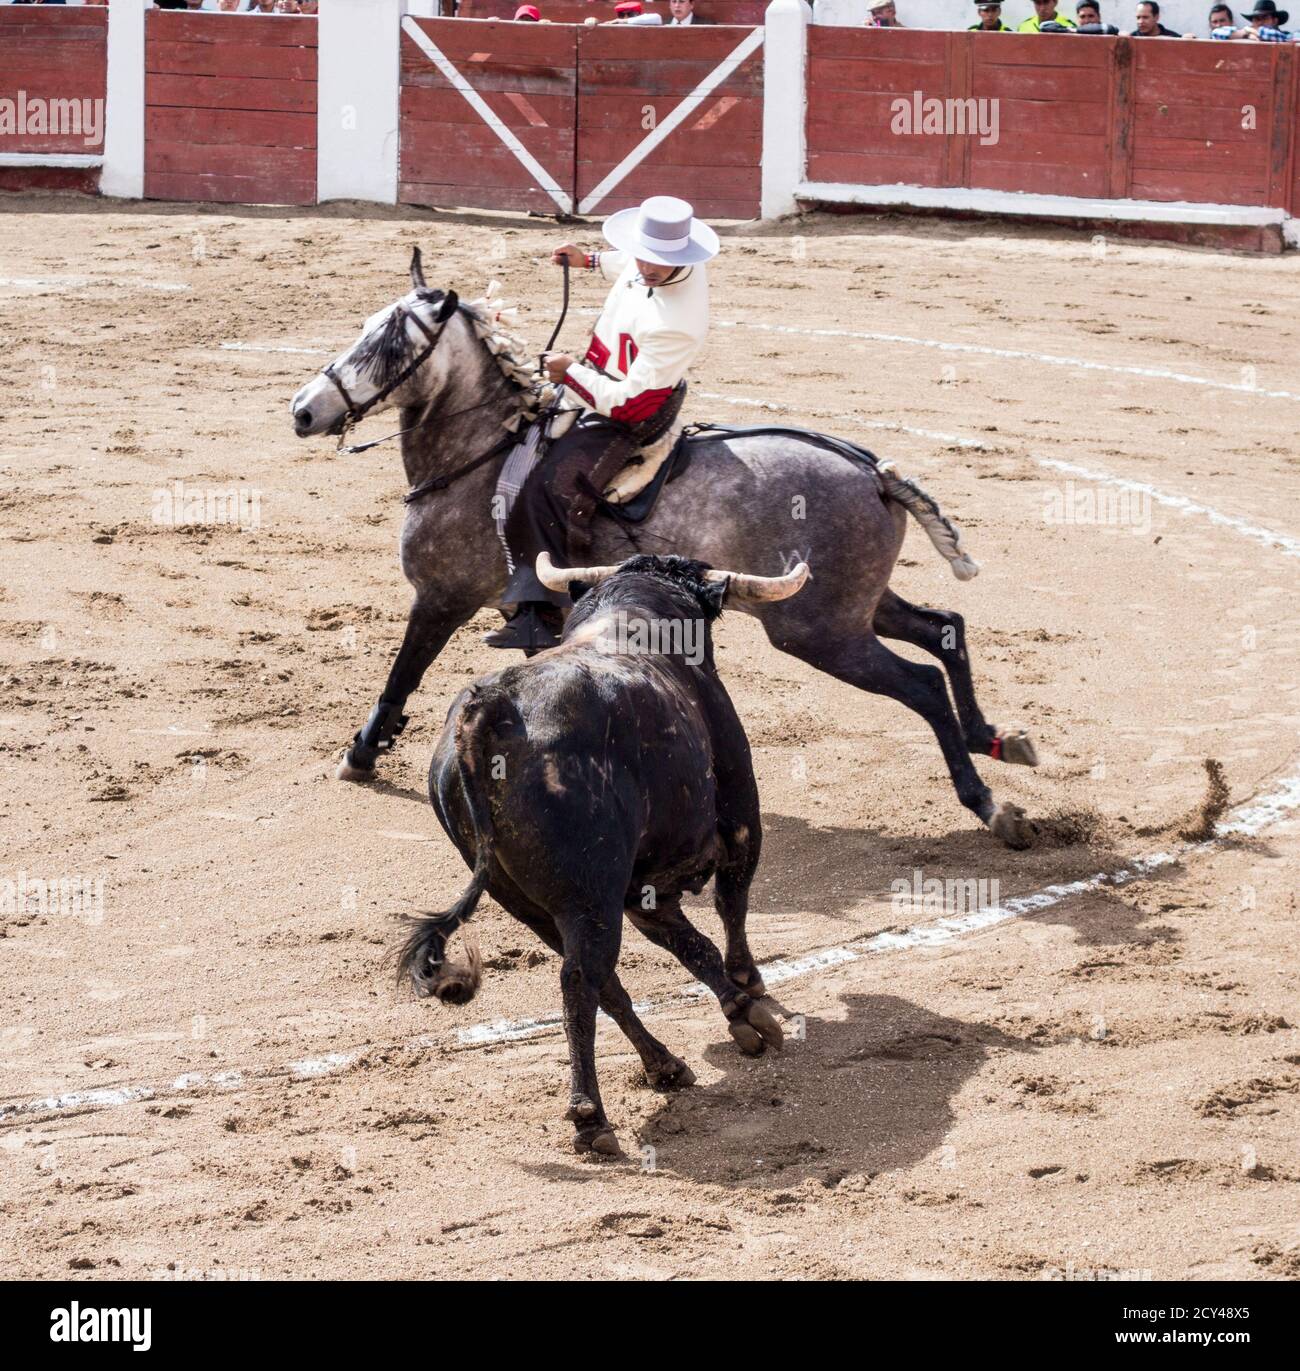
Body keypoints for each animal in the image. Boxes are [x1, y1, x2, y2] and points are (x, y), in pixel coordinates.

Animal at [290, 249, 1041, 847]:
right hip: (857, 606)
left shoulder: (441, 597)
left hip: (819, 632)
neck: (481, 452)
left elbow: (402, 673)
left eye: (388, 344)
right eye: (363, 328)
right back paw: (997, 738)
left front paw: (360, 753)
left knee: (922, 683)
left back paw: (990, 805)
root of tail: (872, 471)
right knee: (944, 628)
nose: (303, 411)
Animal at [395, 552, 809, 1155]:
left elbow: (691, 943)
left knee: (602, 981)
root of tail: (488, 709)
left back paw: (663, 1066)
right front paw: (750, 990)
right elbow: (729, 909)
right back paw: (591, 1117)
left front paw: (740, 1011)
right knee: (579, 982)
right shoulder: (738, 823)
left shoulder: (638, 888)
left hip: (531, 903)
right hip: (590, 897)